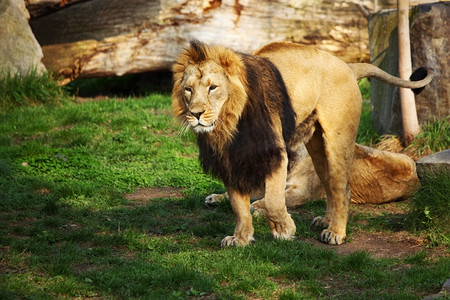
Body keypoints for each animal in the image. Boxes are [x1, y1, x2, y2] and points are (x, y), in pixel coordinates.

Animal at [171, 39, 432, 246]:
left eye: (213, 87)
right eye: (188, 90)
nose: (195, 114)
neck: (228, 124)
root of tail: (346, 65)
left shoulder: (275, 155)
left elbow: (273, 201)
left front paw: (284, 230)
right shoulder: (229, 160)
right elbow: (238, 205)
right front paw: (241, 238)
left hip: (338, 140)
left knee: (342, 189)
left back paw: (335, 233)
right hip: (317, 146)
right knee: (329, 186)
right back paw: (325, 221)